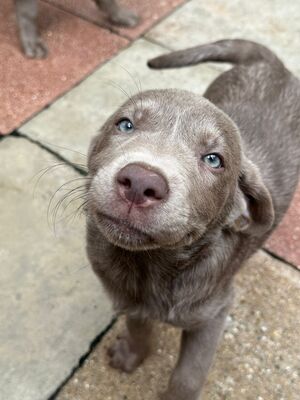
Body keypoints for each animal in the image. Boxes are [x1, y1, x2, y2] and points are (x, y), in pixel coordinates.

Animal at [85, 39, 300, 398]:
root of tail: (273, 64)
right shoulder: (126, 296)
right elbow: (138, 324)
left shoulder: (215, 313)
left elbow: (188, 376)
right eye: (125, 124)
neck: (151, 268)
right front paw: (131, 355)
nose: (140, 182)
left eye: (214, 160)